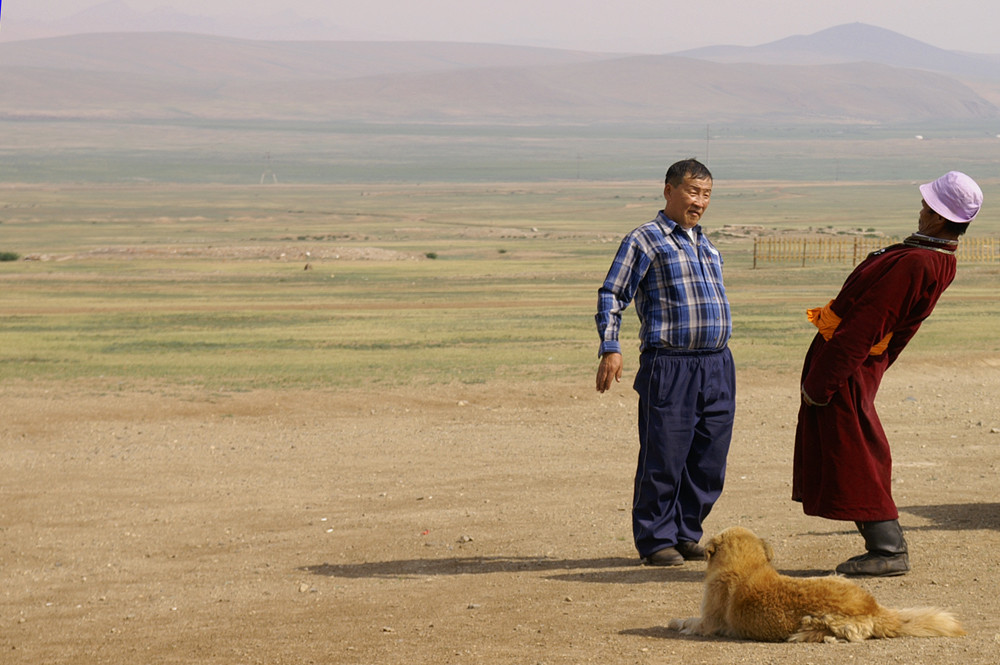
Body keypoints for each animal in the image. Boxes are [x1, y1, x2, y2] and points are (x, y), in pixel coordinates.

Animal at [668, 528, 964, 640]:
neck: (746, 566)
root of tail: (876, 610)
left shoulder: (707, 623)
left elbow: (688, 620)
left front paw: (674, 622)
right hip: (835, 577)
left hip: (814, 621)